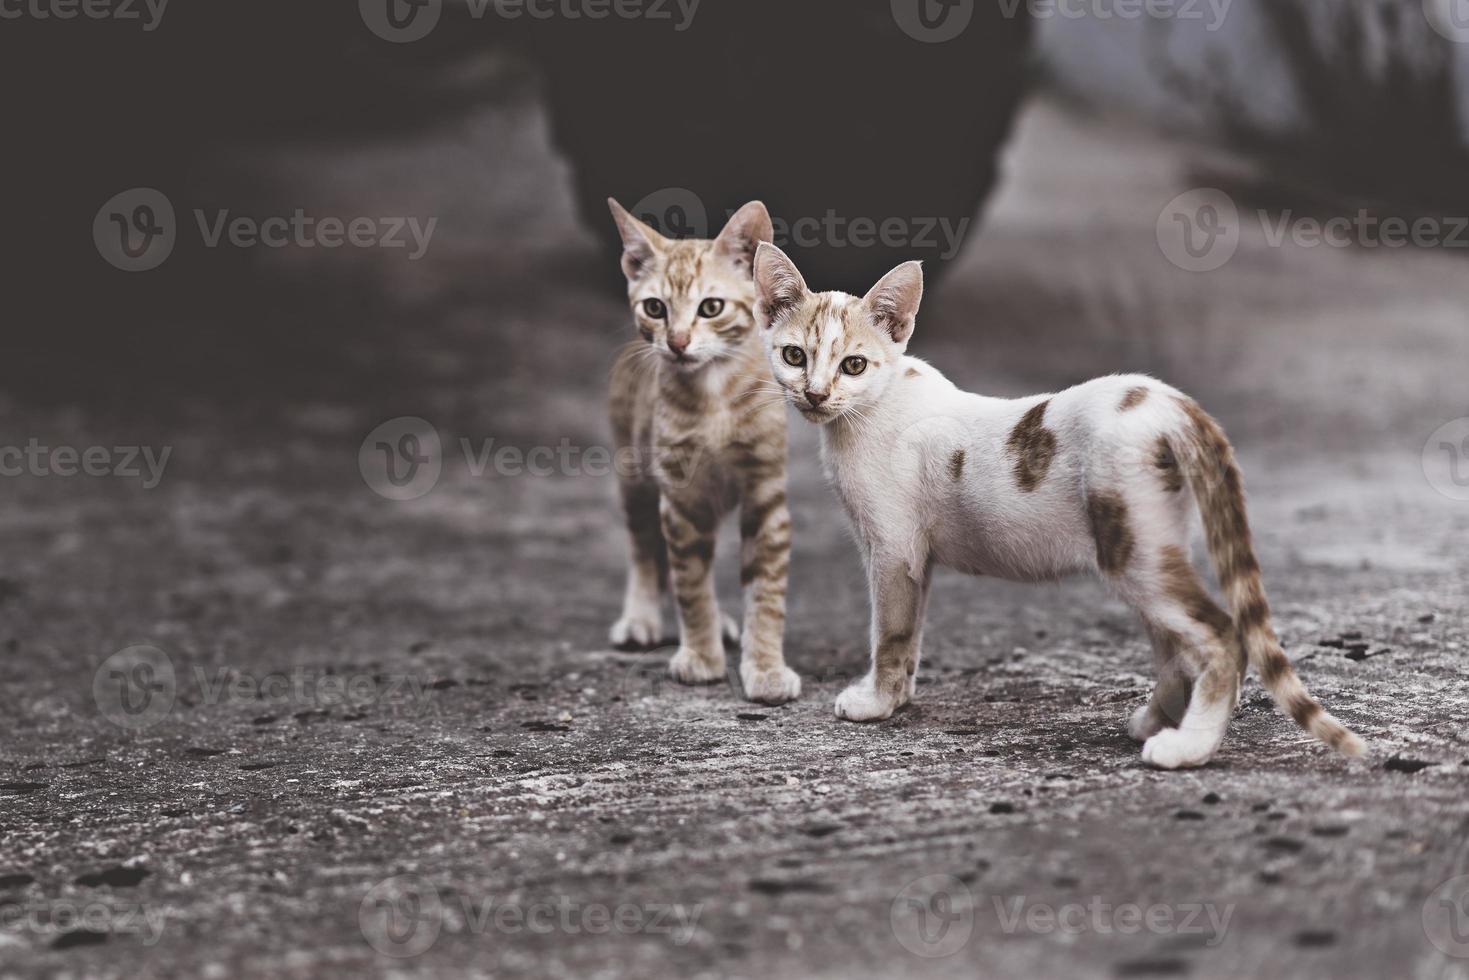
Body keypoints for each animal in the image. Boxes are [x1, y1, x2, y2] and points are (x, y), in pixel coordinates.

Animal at [602, 199, 799, 705]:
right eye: (655, 308)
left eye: (711, 308)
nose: (676, 343)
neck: (715, 396)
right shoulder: (681, 499)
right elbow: (690, 583)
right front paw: (701, 655)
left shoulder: (765, 495)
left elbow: (767, 592)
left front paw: (765, 666)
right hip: (635, 476)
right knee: (644, 548)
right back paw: (642, 617)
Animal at [758, 243, 1363, 764]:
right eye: (794, 356)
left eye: (854, 365)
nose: (814, 394)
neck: (866, 414)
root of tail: (1170, 401)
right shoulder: (914, 560)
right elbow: (911, 638)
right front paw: (900, 697)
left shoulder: (892, 552)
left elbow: (890, 633)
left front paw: (876, 703)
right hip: (1154, 545)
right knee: (1175, 645)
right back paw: (1158, 722)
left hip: (1131, 550)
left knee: (1222, 635)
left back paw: (1187, 748)